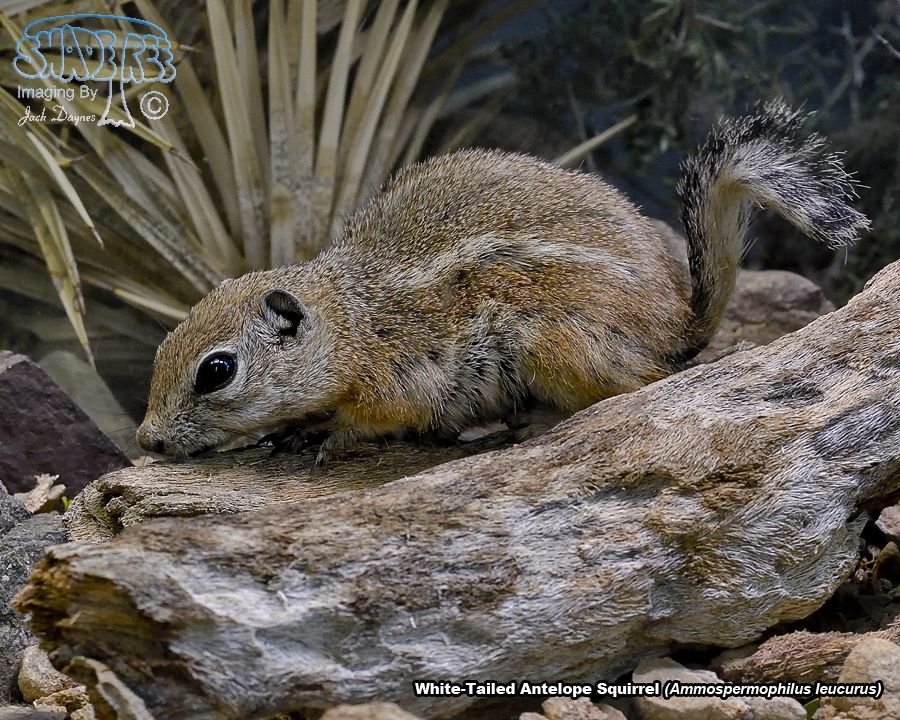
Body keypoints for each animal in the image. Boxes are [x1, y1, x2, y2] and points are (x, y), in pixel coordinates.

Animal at [137, 101, 869, 465]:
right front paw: (291, 431)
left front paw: (329, 438)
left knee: (642, 382)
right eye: (163, 346)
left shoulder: (400, 378)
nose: (147, 440)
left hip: (555, 345)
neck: (351, 322)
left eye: (216, 372)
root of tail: (677, 322)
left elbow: (379, 420)